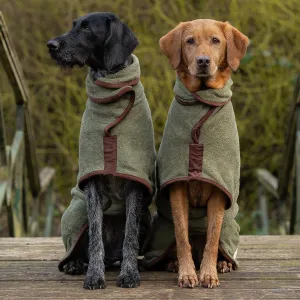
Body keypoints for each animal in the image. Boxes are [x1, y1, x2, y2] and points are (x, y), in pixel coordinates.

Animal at [47, 12, 147, 290]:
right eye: (73, 25)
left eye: (86, 28)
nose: (51, 45)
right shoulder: (91, 187)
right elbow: (95, 237)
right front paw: (94, 275)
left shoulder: (135, 186)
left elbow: (130, 236)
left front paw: (130, 274)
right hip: (76, 213)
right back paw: (75, 264)